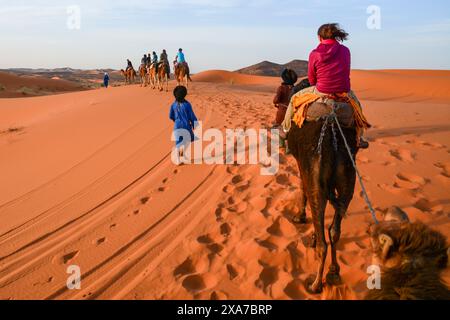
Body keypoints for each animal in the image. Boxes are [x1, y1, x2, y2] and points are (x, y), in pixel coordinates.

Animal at [288, 110, 358, 296]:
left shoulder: (302, 165)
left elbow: (303, 188)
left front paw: (300, 217)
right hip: (348, 179)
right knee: (334, 231)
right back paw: (334, 271)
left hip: (317, 178)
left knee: (323, 244)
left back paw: (315, 284)